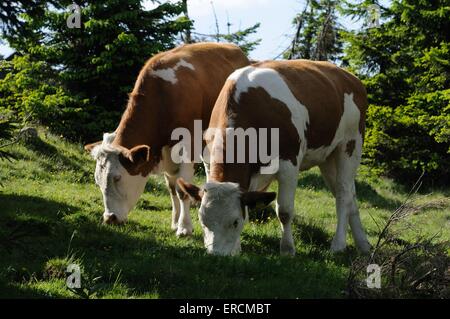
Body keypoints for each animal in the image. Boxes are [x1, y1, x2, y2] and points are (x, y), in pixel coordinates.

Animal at [84, 43, 250, 238]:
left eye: (117, 178)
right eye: (97, 180)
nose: (110, 218)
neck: (163, 96)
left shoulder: (188, 144)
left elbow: (181, 190)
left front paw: (184, 228)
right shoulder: (165, 153)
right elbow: (171, 189)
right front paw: (175, 222)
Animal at [178, 59, 370, 255]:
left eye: (235, 222)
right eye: (203, 221)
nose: (216, 254)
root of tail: (351, 78)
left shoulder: (289, 162)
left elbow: (284, 211)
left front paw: (287, 249)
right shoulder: (209, 162)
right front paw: (237, 247)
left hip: (350, 143)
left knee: (343, 194)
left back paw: (338, 245)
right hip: (328, 157)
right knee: (349, 195)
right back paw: (363, 244)